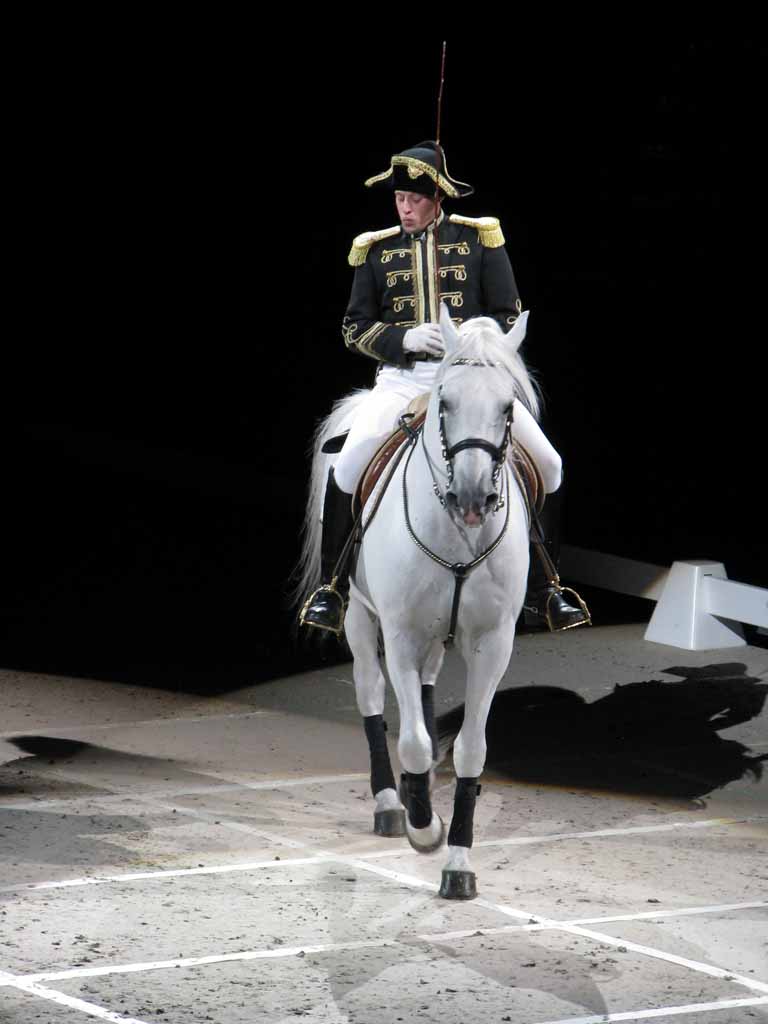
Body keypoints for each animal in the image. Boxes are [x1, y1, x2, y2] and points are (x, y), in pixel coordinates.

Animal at [296, 307, 557, 901]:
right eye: (446, 403)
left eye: (508, 407)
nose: (472, 499)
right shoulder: (400, 634)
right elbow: (412, 740)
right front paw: (424, 828)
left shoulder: (492, 643)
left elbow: (470, 749)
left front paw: (458, 862)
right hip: (360, 618)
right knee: (371, 693)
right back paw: (393, 803)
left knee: (428, 684)